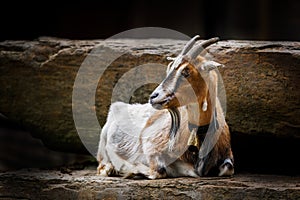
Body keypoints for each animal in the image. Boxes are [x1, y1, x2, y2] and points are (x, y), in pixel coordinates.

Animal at [97, 35, 233, 178]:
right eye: (170, 69)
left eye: (186, 72)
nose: (154, 96)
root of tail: (117, 107)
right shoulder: (151, 145)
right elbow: (159, 170)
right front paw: (132, 170)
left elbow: (228, 168)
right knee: (103, 166)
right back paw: (111, 168)